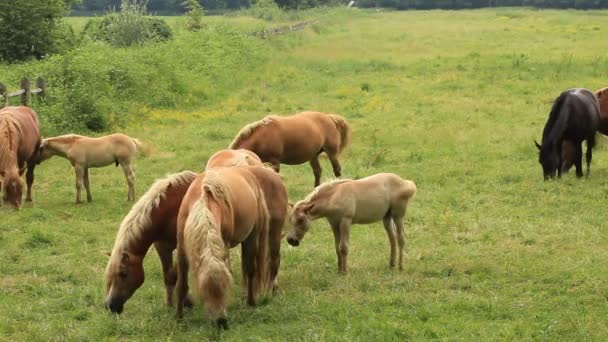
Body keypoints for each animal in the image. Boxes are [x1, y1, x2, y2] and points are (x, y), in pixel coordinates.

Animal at [104, 170, 197, 314]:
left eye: (123, 273)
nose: (110, 305)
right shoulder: (162, 246)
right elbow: (169, 277)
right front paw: (170, 304)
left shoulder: (181, 247)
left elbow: (177, 274)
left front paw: (186, 301)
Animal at [176, 166, 288, 328]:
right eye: (204, 291)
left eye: (225, 288)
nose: (221, 322)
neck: (204, 201)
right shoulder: (182, 250)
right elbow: (182, 283)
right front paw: (179, 316)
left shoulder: (224, 245)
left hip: (257, 236)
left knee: (257, 268)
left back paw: (254, 300)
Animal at [284, 172, 414, 274]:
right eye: (290, 219)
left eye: (300, 219)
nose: (290, 240)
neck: (334, 196)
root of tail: (406, 183)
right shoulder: (334, 224)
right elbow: (337, 247)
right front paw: (339, 270)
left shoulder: (345, 222)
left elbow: (344, 247)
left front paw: (345, 272)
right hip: (387, 218)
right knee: (392, 239)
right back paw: (391, 265)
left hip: (398, 216)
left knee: (401, 238)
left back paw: (401, 267)